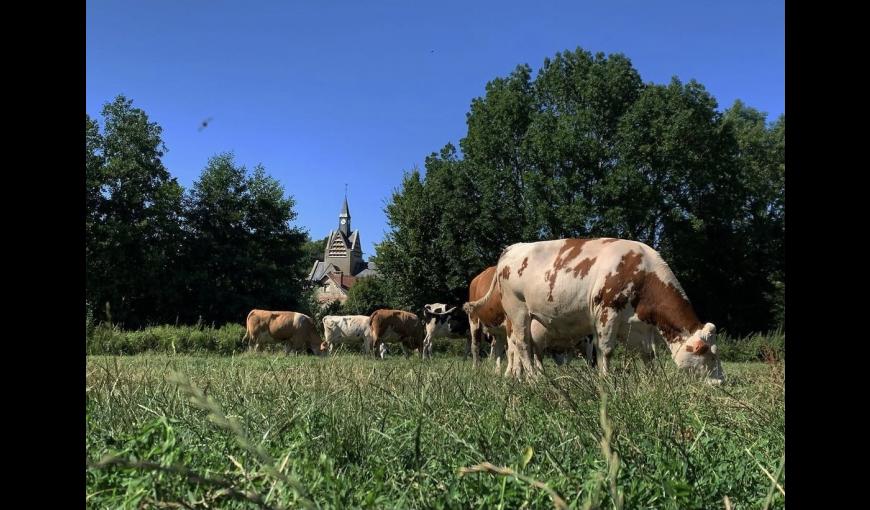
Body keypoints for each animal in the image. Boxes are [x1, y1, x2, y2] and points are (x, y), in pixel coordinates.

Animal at [470, 266, 600, 370]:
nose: (593, 366)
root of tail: (477, 277)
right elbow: (514, 350)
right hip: (474, 320)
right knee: (476, 345)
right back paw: (476, 368)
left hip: (498, 330)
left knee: (497, 347)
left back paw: (497, 371)